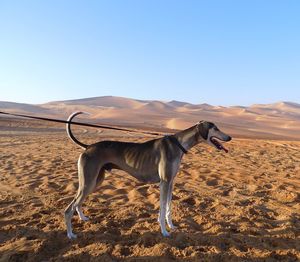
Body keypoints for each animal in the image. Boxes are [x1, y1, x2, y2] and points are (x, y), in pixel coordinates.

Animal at [64, 111, 231, 238]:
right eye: (215, 128)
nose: (229, 137)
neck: (179, 144)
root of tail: (88, 147)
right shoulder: (164, 182)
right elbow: (163, 208)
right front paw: (164, 232)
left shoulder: (171, 182)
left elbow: (168, 208)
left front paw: (171, 226)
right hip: (89, 181)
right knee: (68, 209)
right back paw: (71, 234)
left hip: (94, 180)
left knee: (78, 203)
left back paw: (83, 218)